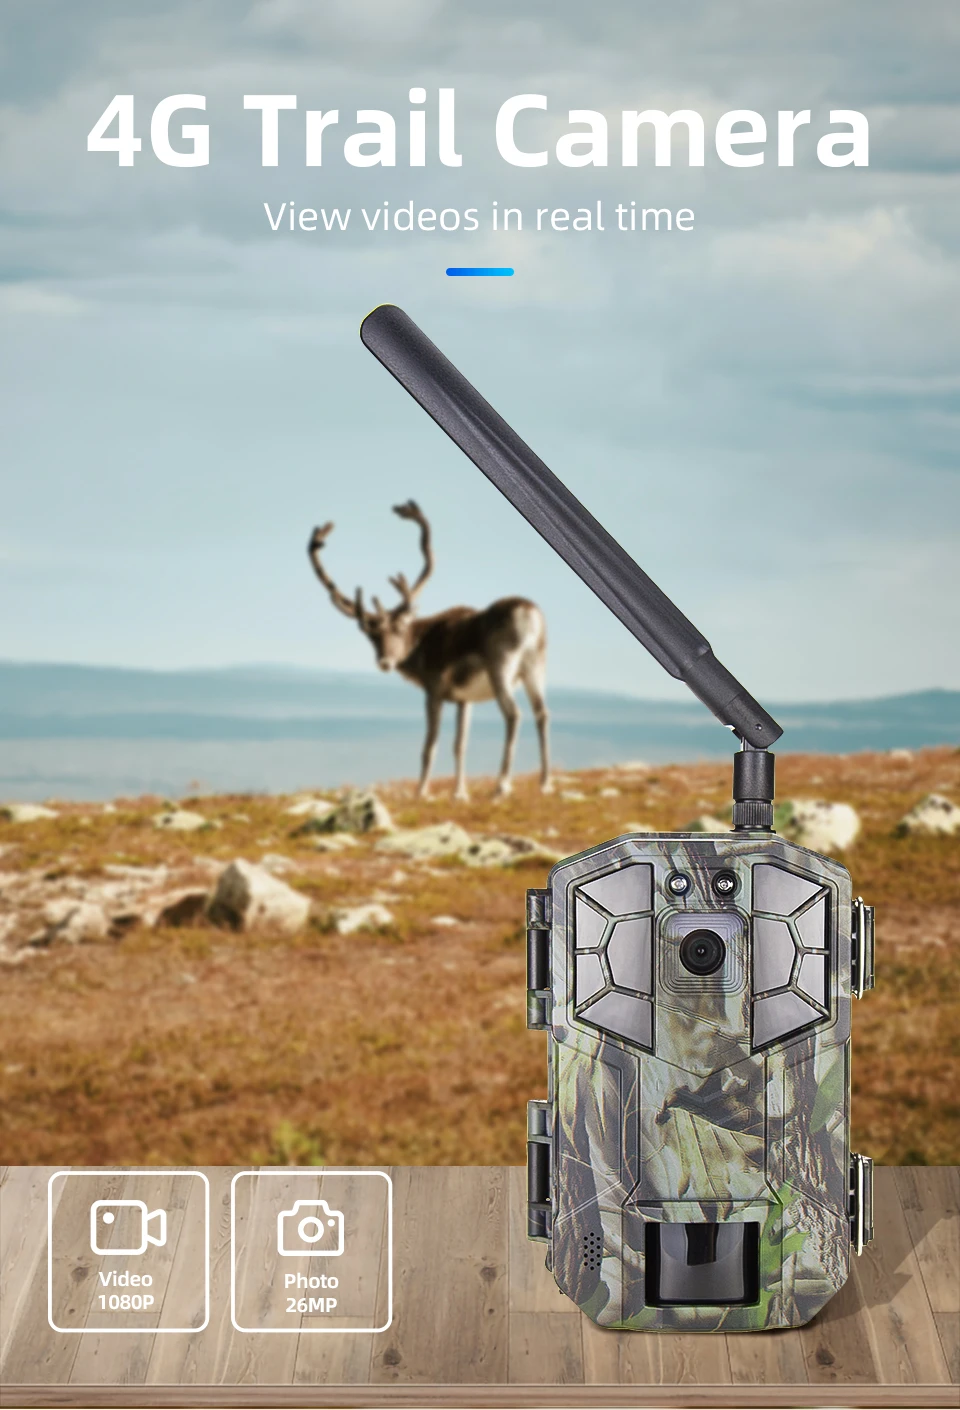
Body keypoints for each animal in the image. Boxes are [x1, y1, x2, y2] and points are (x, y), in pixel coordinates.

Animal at [308, 500, 551, 801]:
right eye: (371, 635)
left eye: (399, 627)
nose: (385, 662)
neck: (419, 644)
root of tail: (528, 613)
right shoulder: (464, 699)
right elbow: (459, 744)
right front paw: (459, 793)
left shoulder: (434, 690)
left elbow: (430, 744)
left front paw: (421, 790)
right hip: (535, 666)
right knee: (542, 713)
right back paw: (545, 783)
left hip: (501, 666)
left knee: (514, 714)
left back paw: (502, 785)